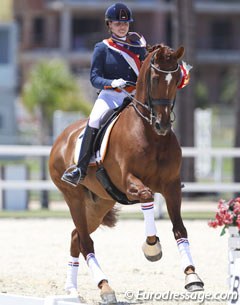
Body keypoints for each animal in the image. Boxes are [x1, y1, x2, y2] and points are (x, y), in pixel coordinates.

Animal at [49, 44, 203, 302]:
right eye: (154, 78)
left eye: (176, 80)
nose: (162, 124)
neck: (151, 134)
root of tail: (61, 138)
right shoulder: (129, 182)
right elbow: (147, 196)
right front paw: (152, 247)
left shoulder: (172, 186)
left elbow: (180, 229)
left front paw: (192, 276)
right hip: (74, 198)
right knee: (86, 242)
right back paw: (105, 287)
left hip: (99, 204)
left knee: (76, 237)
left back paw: (72, 289)